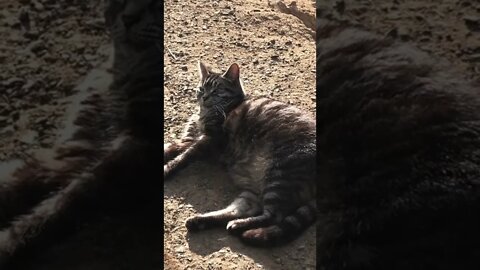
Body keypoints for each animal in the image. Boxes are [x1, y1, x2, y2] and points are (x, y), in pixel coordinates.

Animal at [0, 0, 162, 266]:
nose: (128, 18)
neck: (127, 71)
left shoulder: (131, 153)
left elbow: (56, 207)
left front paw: (6, 244)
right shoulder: (75, 148)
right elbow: (18, 179)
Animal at [163, 61, 316, 247]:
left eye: (216, 91)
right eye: (201, 88)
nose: (204, 97)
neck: (205, 114)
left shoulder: (208, 141)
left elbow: (182, 158)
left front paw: (166, 169)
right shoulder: (189, 140)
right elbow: (171, 146)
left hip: (280, 176)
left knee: (273, 216)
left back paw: (246, 230)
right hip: (256, 189)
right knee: (242, 210)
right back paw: (202, 221)